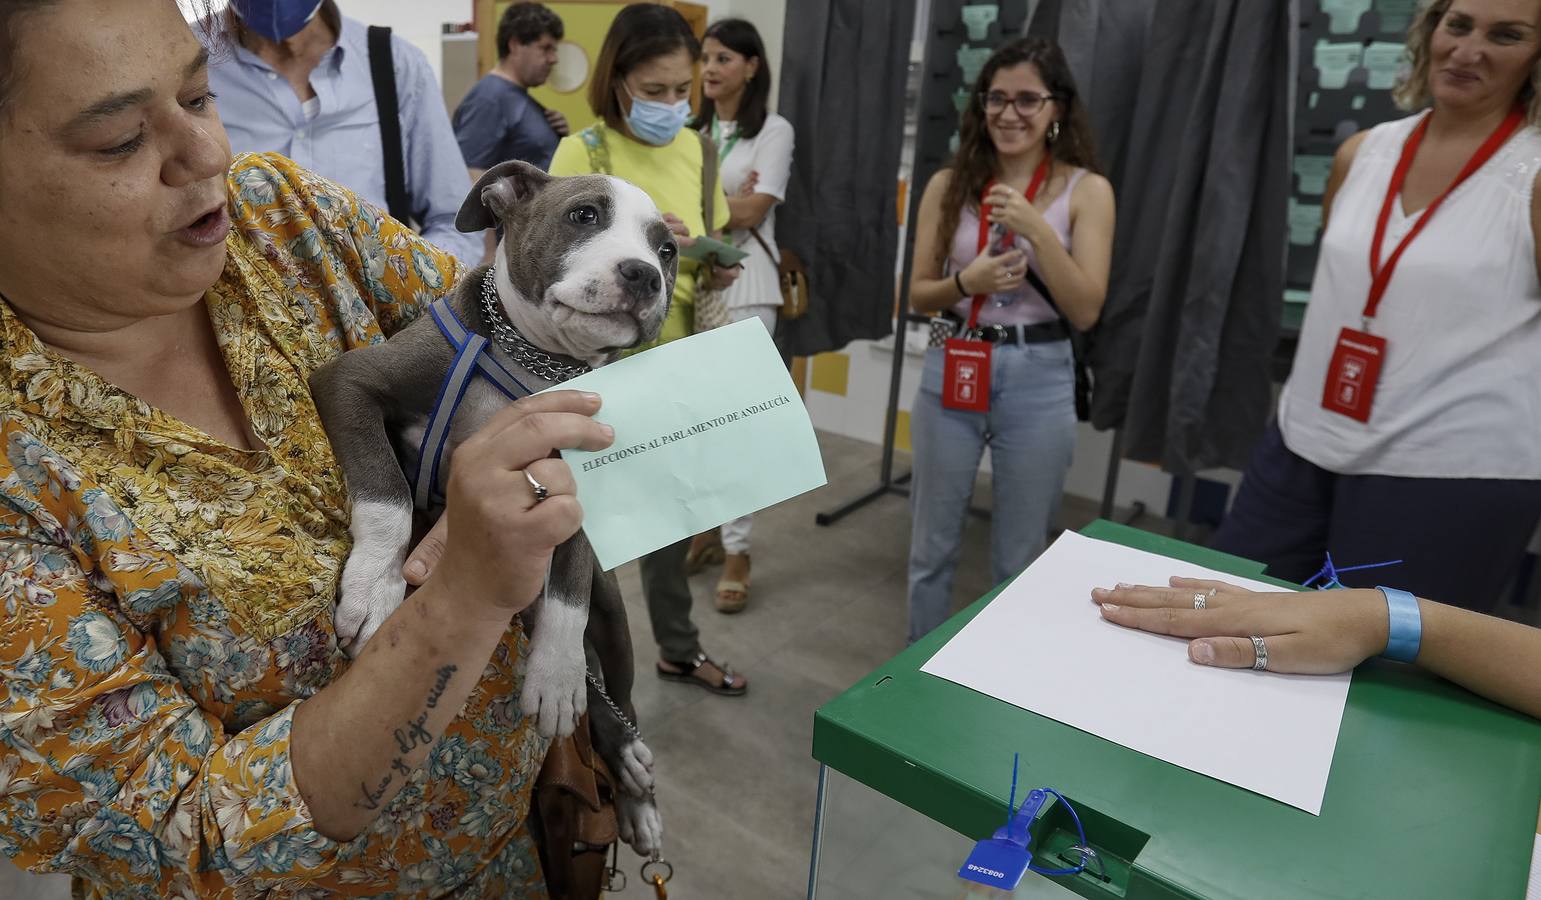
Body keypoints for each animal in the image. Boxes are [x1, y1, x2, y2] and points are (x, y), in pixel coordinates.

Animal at [303, 161, 678, 856]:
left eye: (667, 250)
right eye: (584, 215)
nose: (644, 273)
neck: (535, 367)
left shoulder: (575, 484)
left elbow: (567, 593)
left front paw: (556, 671)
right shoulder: (349, 381)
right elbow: (388, 495)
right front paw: (374, 587)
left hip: (616, 619)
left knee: (620, 697)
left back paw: (635, 790)